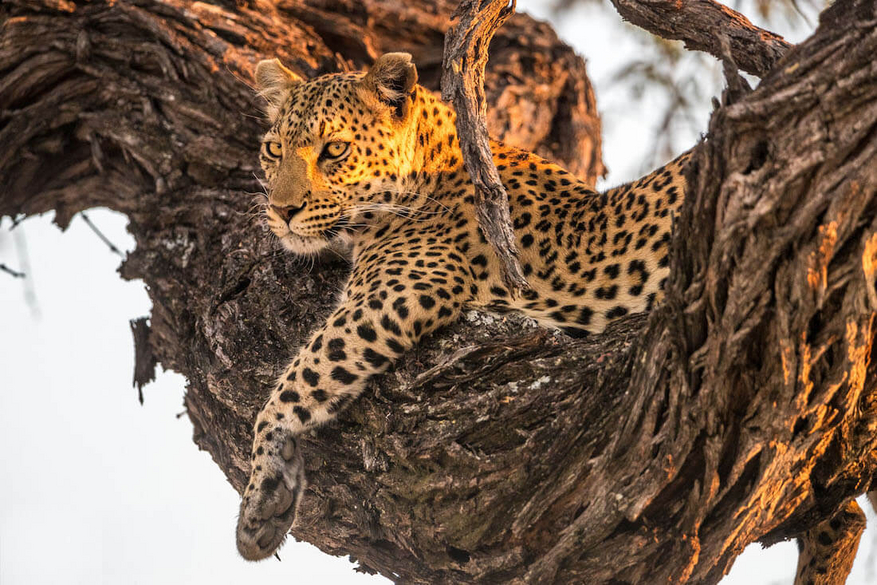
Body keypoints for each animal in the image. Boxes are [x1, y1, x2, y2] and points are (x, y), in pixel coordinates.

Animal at [233, 52, 864, 576]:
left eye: (334, 151)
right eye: (273, 151)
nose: (281, 210)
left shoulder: (404, 289)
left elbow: (296, 381)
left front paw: (262, 501)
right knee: (843, 513)